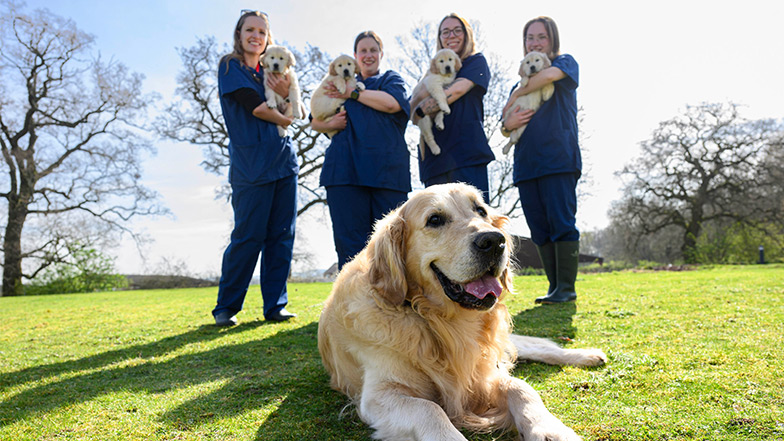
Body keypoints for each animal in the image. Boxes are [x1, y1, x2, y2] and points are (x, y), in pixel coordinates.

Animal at [318, 182, 608, 440]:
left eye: (481, 210)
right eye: (434, 219)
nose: (494, 241)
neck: (439, 321)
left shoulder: (485, 372)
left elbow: (521, 387)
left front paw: (552, 430)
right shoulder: (380, 393)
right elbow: (430, 409)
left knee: (541, 349)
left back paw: (587, 355)